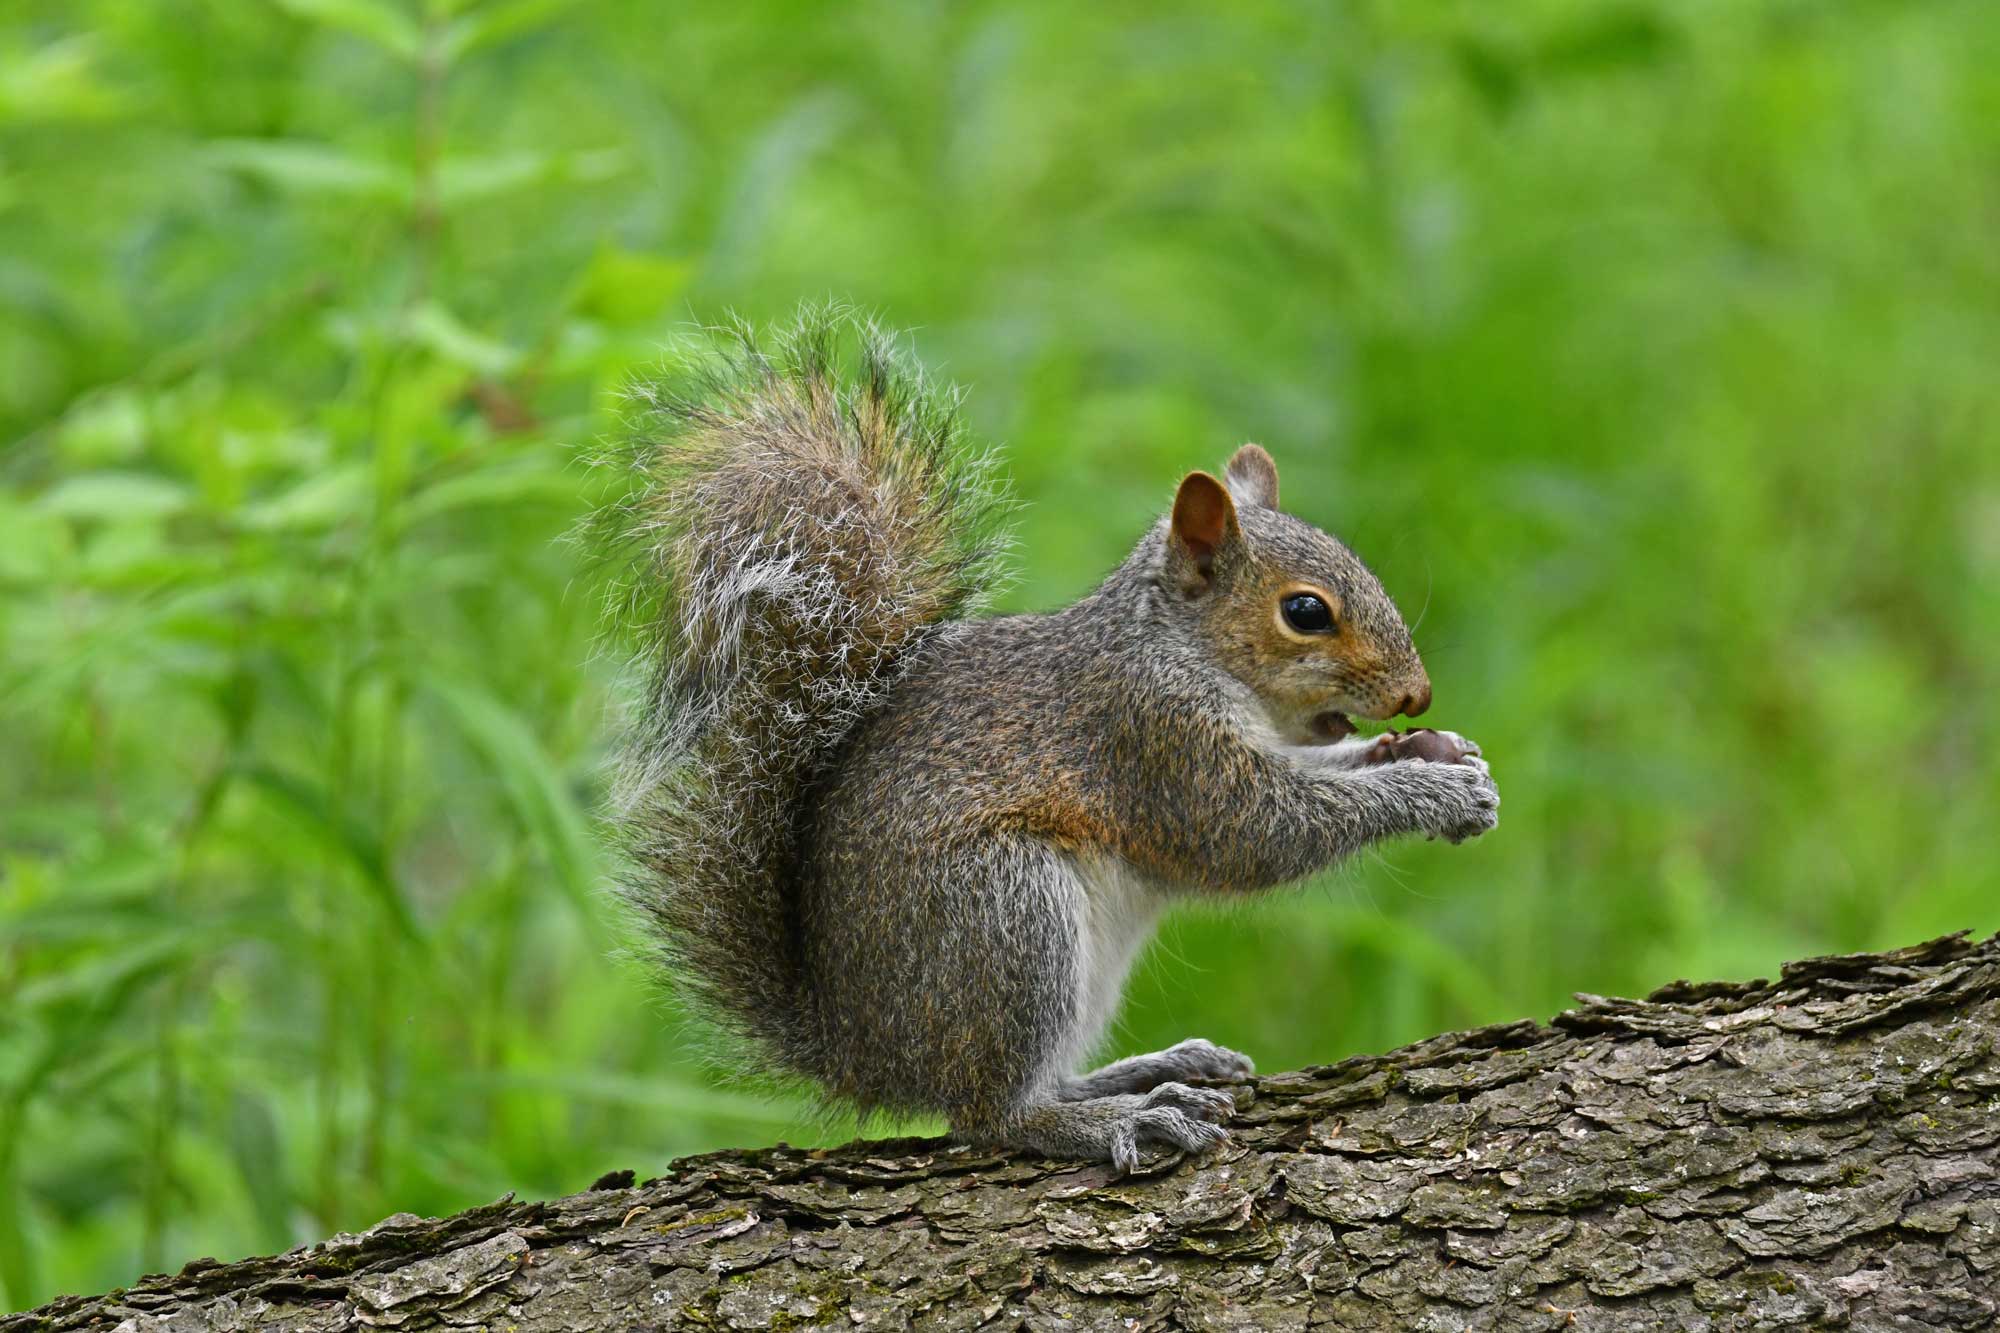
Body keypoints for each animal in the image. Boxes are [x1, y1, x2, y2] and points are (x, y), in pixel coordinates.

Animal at [600, 308, 1499, 1172]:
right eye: (1306, 611)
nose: (1416, 693)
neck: (1176, 646)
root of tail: (860, 1049)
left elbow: (1322, 770)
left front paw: (1439, 754)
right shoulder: (1152, 735)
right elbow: (1254, 830)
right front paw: (1429, 790)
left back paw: (1151, 1069)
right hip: (1006, 915)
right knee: (994, 1116)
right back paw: (1119, 1117)